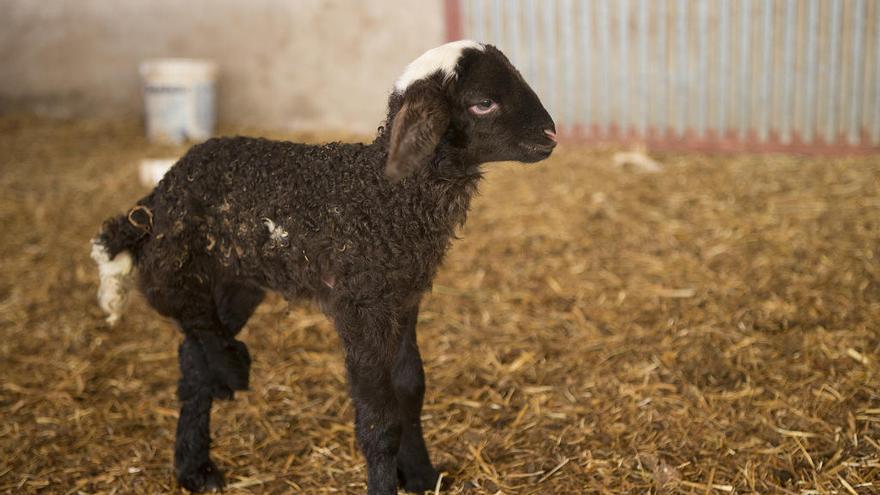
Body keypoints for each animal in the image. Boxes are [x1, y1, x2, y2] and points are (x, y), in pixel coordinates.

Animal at [91, 40, 556, 494]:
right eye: (483, 103)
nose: (551, 135)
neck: (385, 196)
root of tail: (160, 191)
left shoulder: (402, 299)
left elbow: (410, 388)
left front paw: (421, 475)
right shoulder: (360, 307)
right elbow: (379, 420)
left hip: (238, 279)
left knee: (192, 358)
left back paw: (195, 467)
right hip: (181, 259)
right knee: (182, 310)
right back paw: (230, 370)